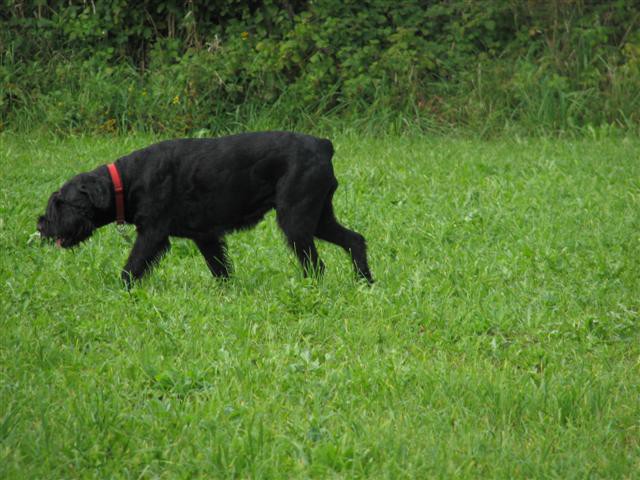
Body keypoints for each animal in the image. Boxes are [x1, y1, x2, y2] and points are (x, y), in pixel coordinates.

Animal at [37, 131, 372, 286]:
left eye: (61, 203)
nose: (41, 225)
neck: (126, 182)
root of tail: (323, 145)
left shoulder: (152, 234)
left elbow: (131, 267)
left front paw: (120, 290)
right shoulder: (205, 236)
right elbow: (219, 267)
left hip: (296, 222)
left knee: (316, 264)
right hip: (318, 217)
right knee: (354, 239)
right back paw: (364, 281)